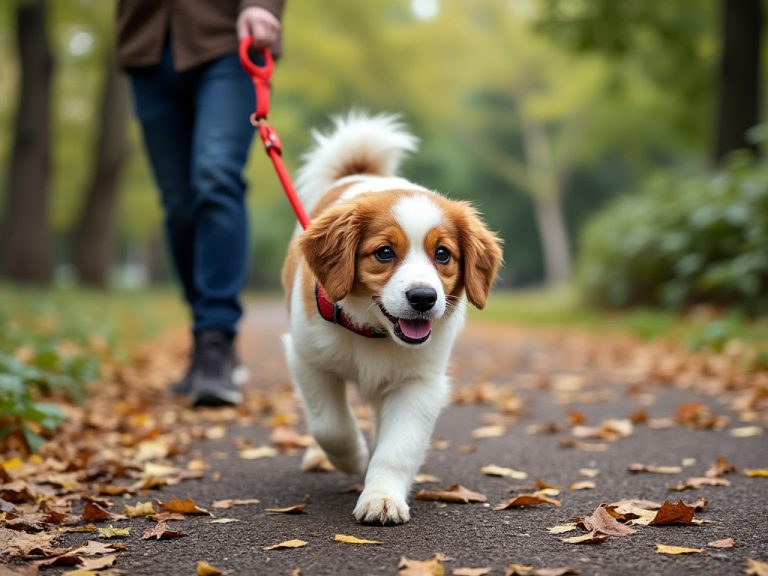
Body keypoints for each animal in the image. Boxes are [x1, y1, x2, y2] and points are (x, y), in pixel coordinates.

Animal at [282, 112, 504, 528]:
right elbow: (330, 425)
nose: (423, 298)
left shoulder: (419, 383)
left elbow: (397, 447)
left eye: (443, 254)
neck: (374, 332)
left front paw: (381, 497)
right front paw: (353, 457)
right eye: (384, 253)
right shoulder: (308, 359)